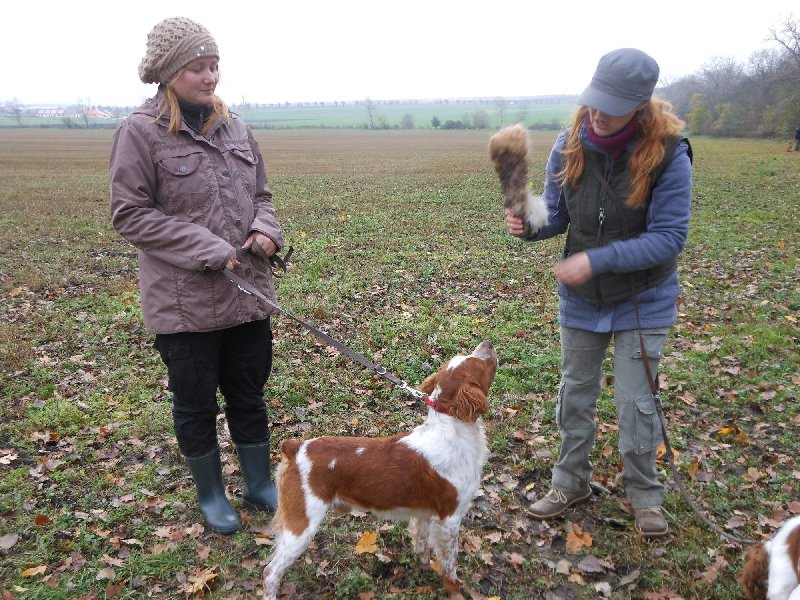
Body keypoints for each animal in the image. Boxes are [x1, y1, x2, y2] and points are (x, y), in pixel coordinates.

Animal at [262, 340, 496, 596]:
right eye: (477, 363)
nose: (488, 343)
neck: (452, 432)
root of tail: (295, 447)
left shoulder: (425, 514)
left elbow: (422, 544)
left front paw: (424, 567)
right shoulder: (450, 518)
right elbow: (449, 562)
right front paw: (454, 588)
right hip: (301, 525)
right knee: (270, 572)